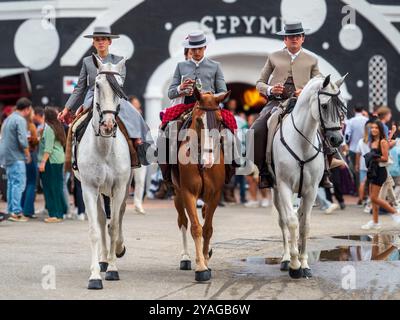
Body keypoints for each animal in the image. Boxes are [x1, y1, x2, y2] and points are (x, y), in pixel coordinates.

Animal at [173, 89, 231, 282]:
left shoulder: (215, 195)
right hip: (177, 193)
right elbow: (196, 228)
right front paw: (201, 267)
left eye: (219, 120)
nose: (209, 159)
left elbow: (207, 229)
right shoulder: (187, 193)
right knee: (182, 221)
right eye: (199, 120)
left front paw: (205, 258)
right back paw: (185, 257)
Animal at [272, 74, 346, 278]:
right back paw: (286, 258)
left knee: (299, 216)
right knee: (283, 220)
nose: (337, 139)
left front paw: (304, 264)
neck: (302, 143)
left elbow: (305, 225)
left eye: (342, 107)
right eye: (325, 106)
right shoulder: (284, 186)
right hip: (275, 190)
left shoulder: (311, 189)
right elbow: (290, 222)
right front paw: (294, 265)